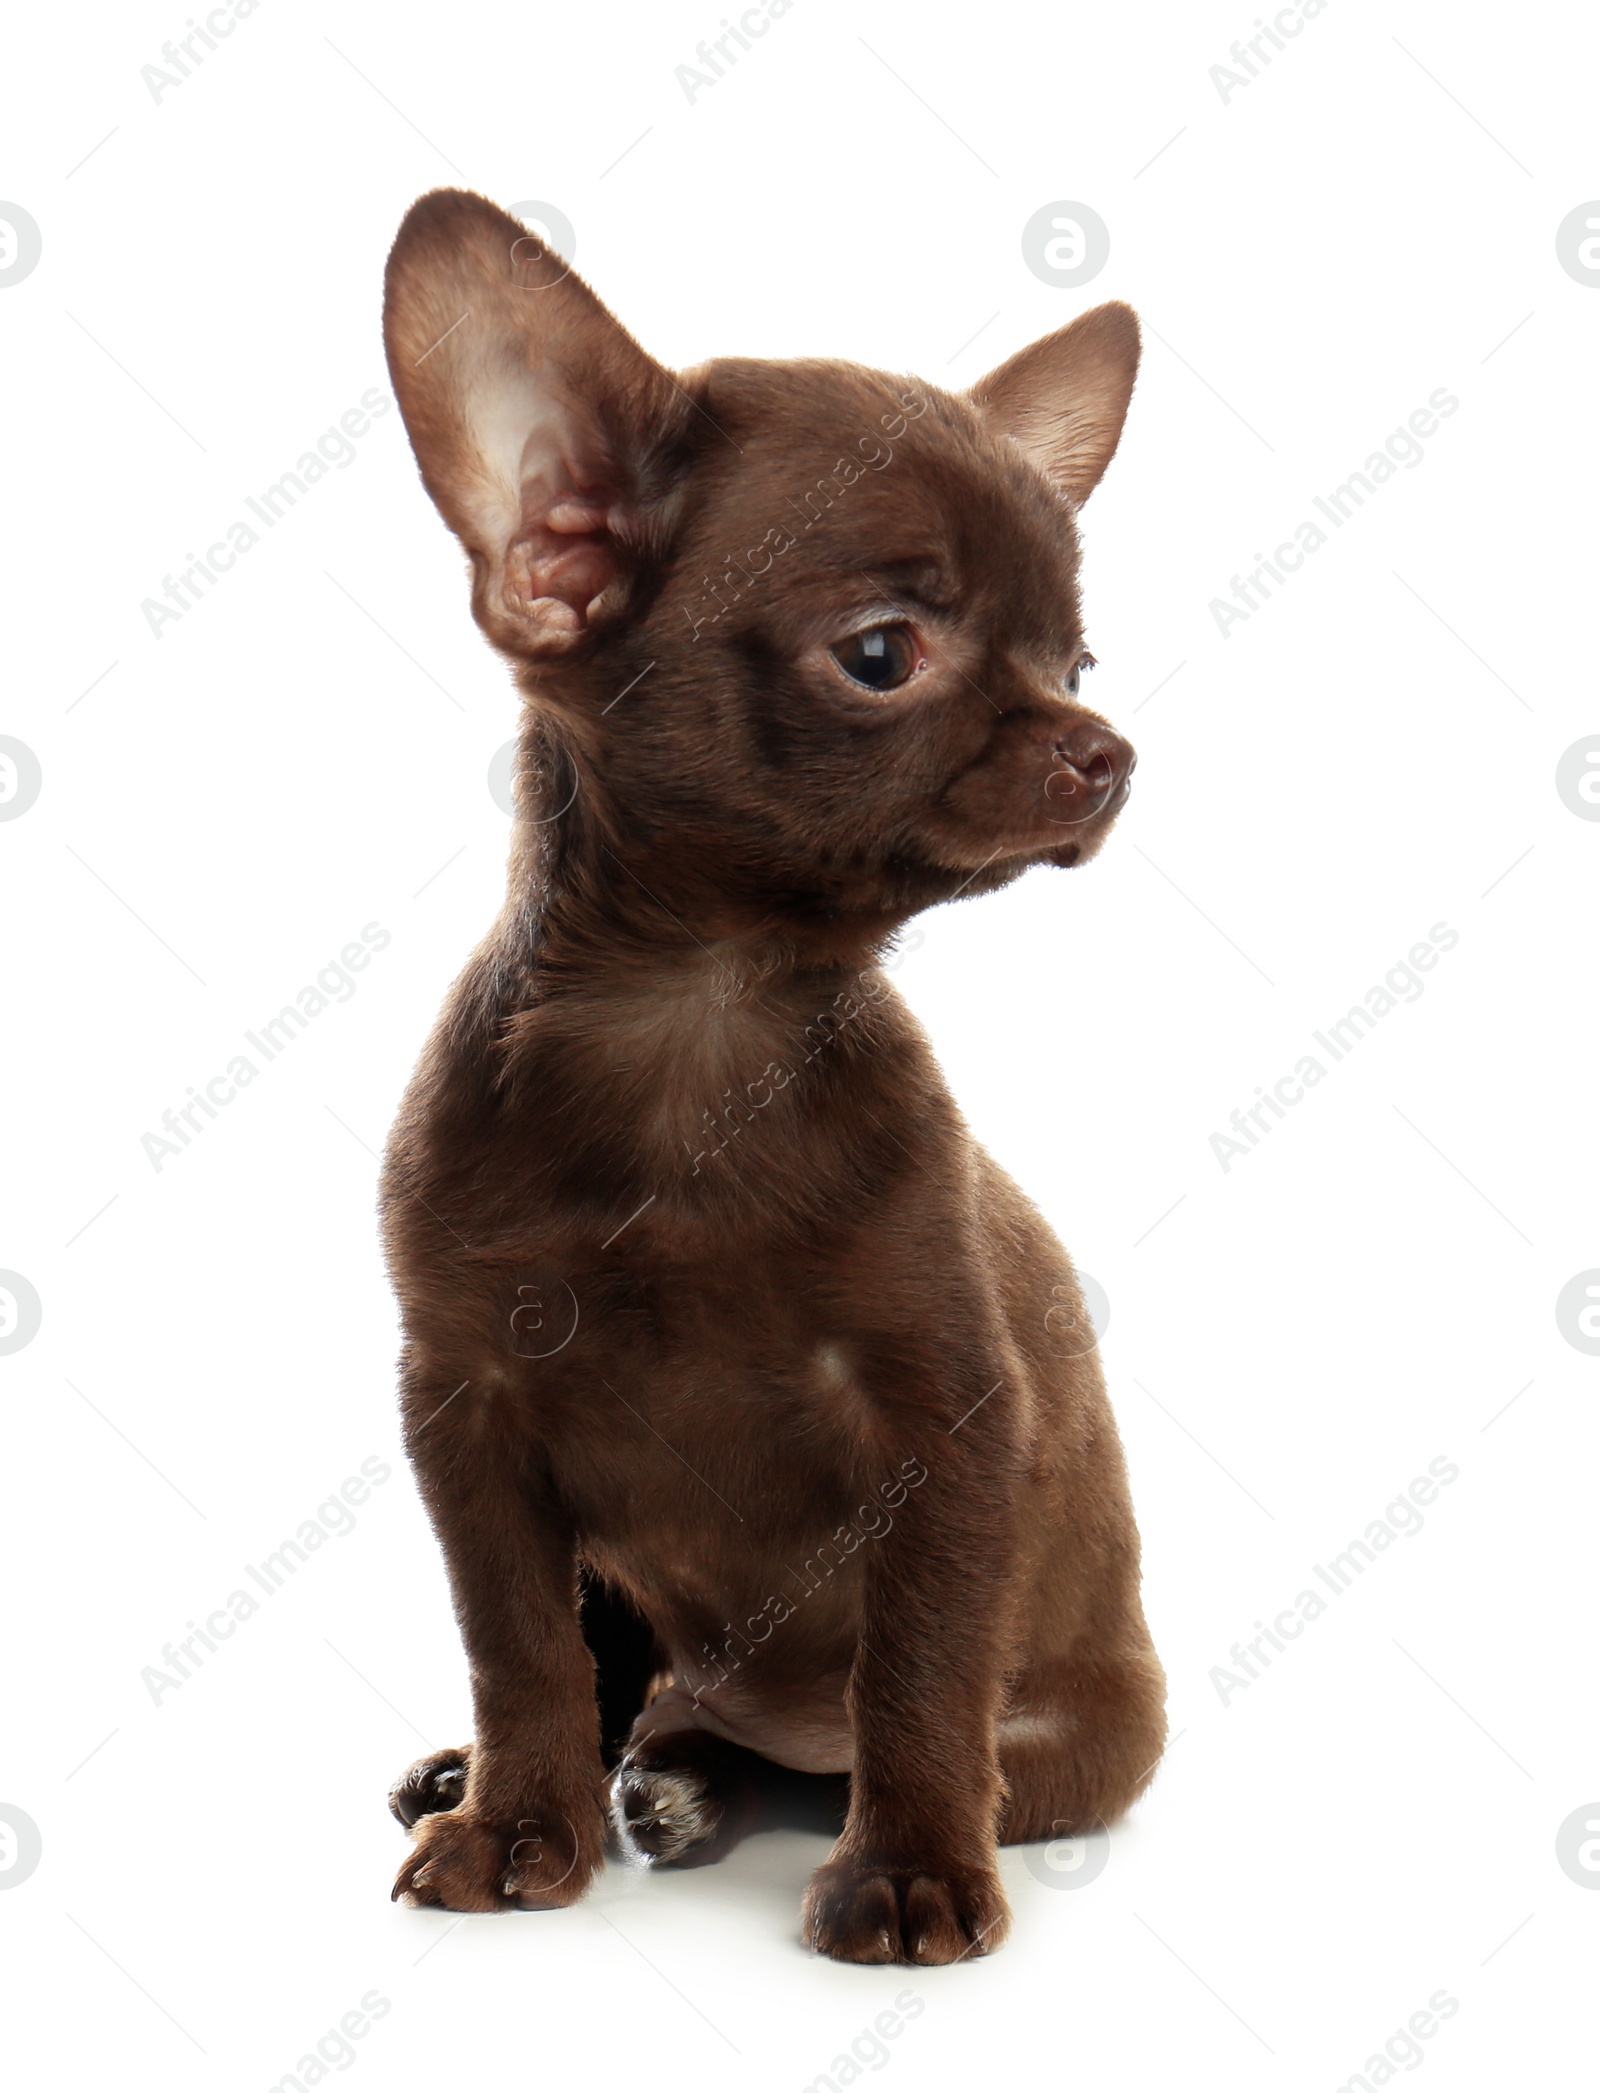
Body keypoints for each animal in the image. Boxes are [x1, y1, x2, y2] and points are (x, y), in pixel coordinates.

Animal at [381, 184, 1172, 1959]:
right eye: (884, 651)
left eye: (1076, 666)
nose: (1108, 753)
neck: (704, 1021)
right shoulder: (471, 1414)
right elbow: (519, 1643)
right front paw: (517, 1819)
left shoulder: (945, 1425)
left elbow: (922, 1668)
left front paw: (913, 1871)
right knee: (638, 1681)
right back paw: (565, 1775)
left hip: (1087, 1738)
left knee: (864, 1732)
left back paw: (715, 1790)